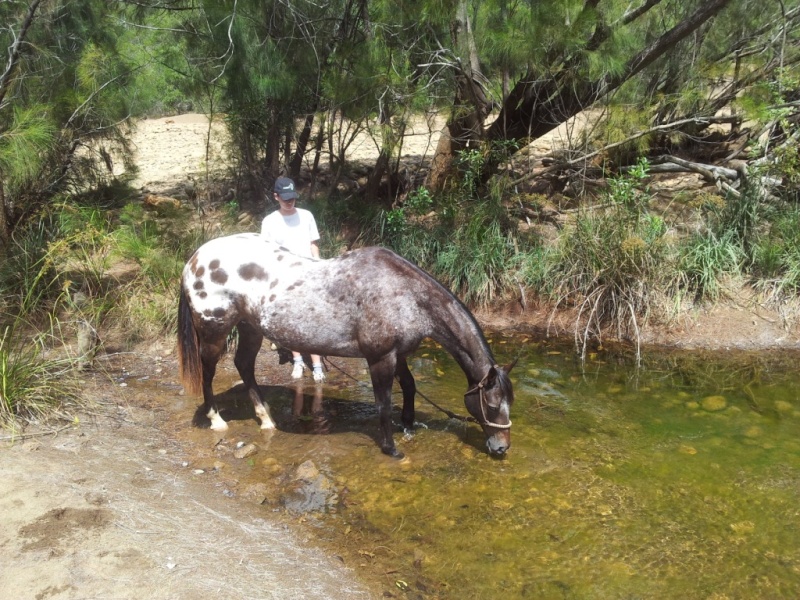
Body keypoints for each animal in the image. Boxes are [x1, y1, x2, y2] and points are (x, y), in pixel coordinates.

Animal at [177, 232, 516, 458]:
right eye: (492, 405)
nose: (502, 448)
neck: (406, 294)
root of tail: (194, 260)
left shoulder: (398, 355)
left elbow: (409, 386)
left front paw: (408, 424)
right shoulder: (380, 358)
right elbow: (383, 402)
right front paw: (391, 448)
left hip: (250, 329)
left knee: (244, 365)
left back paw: (266, 419)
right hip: (214, 331)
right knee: (209, 371)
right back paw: (216, 420)